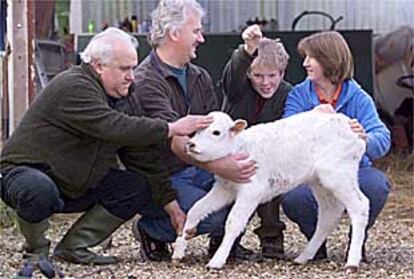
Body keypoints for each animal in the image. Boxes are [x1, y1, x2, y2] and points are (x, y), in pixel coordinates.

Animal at [171, 110, 368, 274]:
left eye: (216, 132)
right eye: (196, 131)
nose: (191, 144)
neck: (241, 148)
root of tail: (349, 125)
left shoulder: (252, 190)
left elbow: (234, 222)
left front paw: (217, 260)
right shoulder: (224, 188)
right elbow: (197, 208)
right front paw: (180, 247)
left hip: (338, 174)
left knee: (360, 206)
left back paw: (352, 263)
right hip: (320, 182)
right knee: (329, 214)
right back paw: (304, 257)